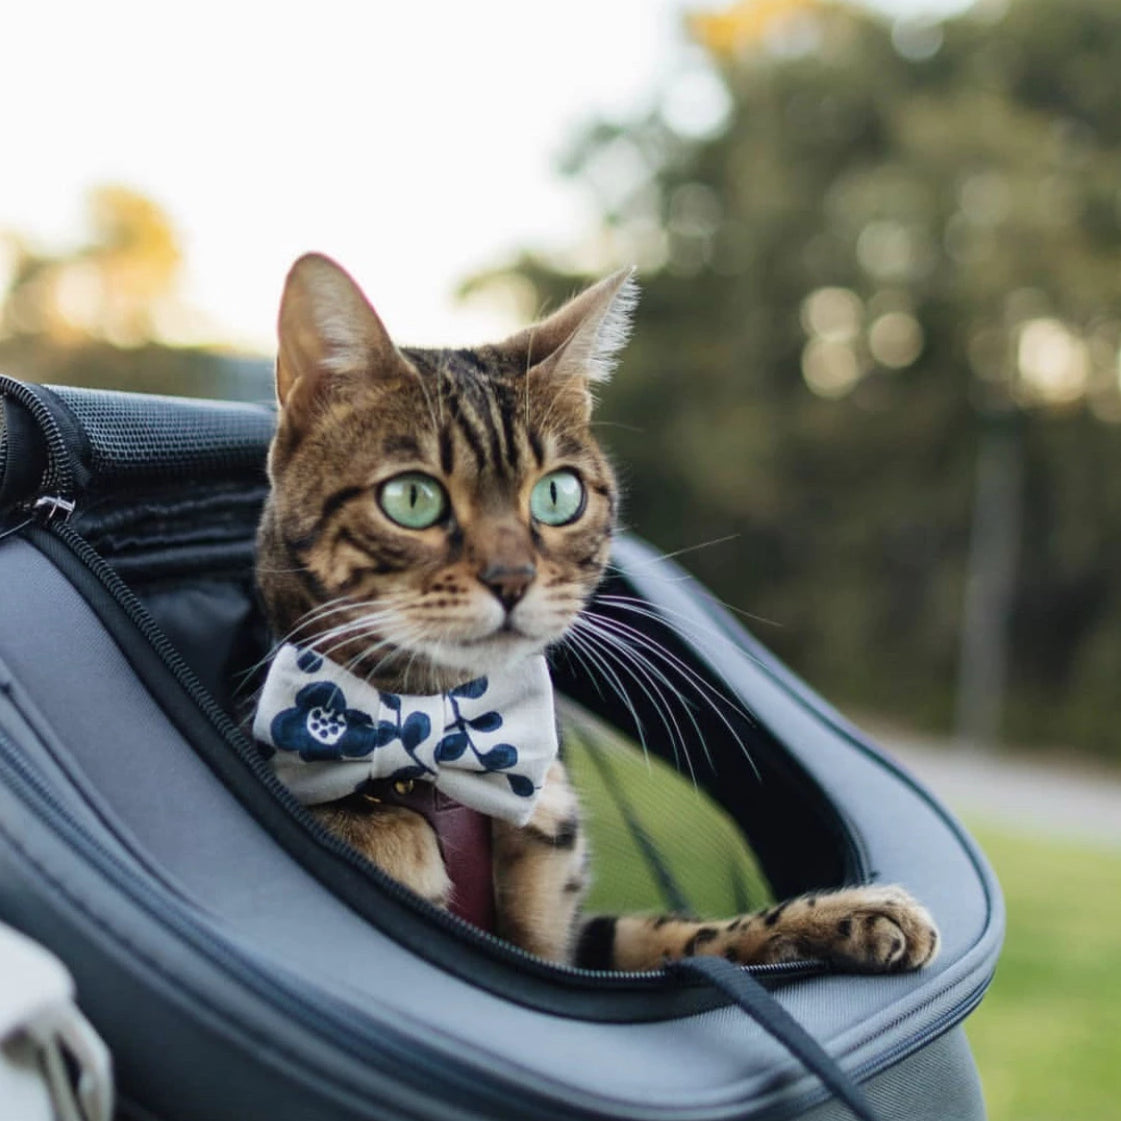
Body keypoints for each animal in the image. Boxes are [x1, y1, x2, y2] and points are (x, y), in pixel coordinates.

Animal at [254, 254, 937, 973]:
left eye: (557, 494)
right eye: (412, 498)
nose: (513, 578)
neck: (441, 770)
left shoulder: (569, 937)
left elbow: (681, 934)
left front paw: (846, 914)